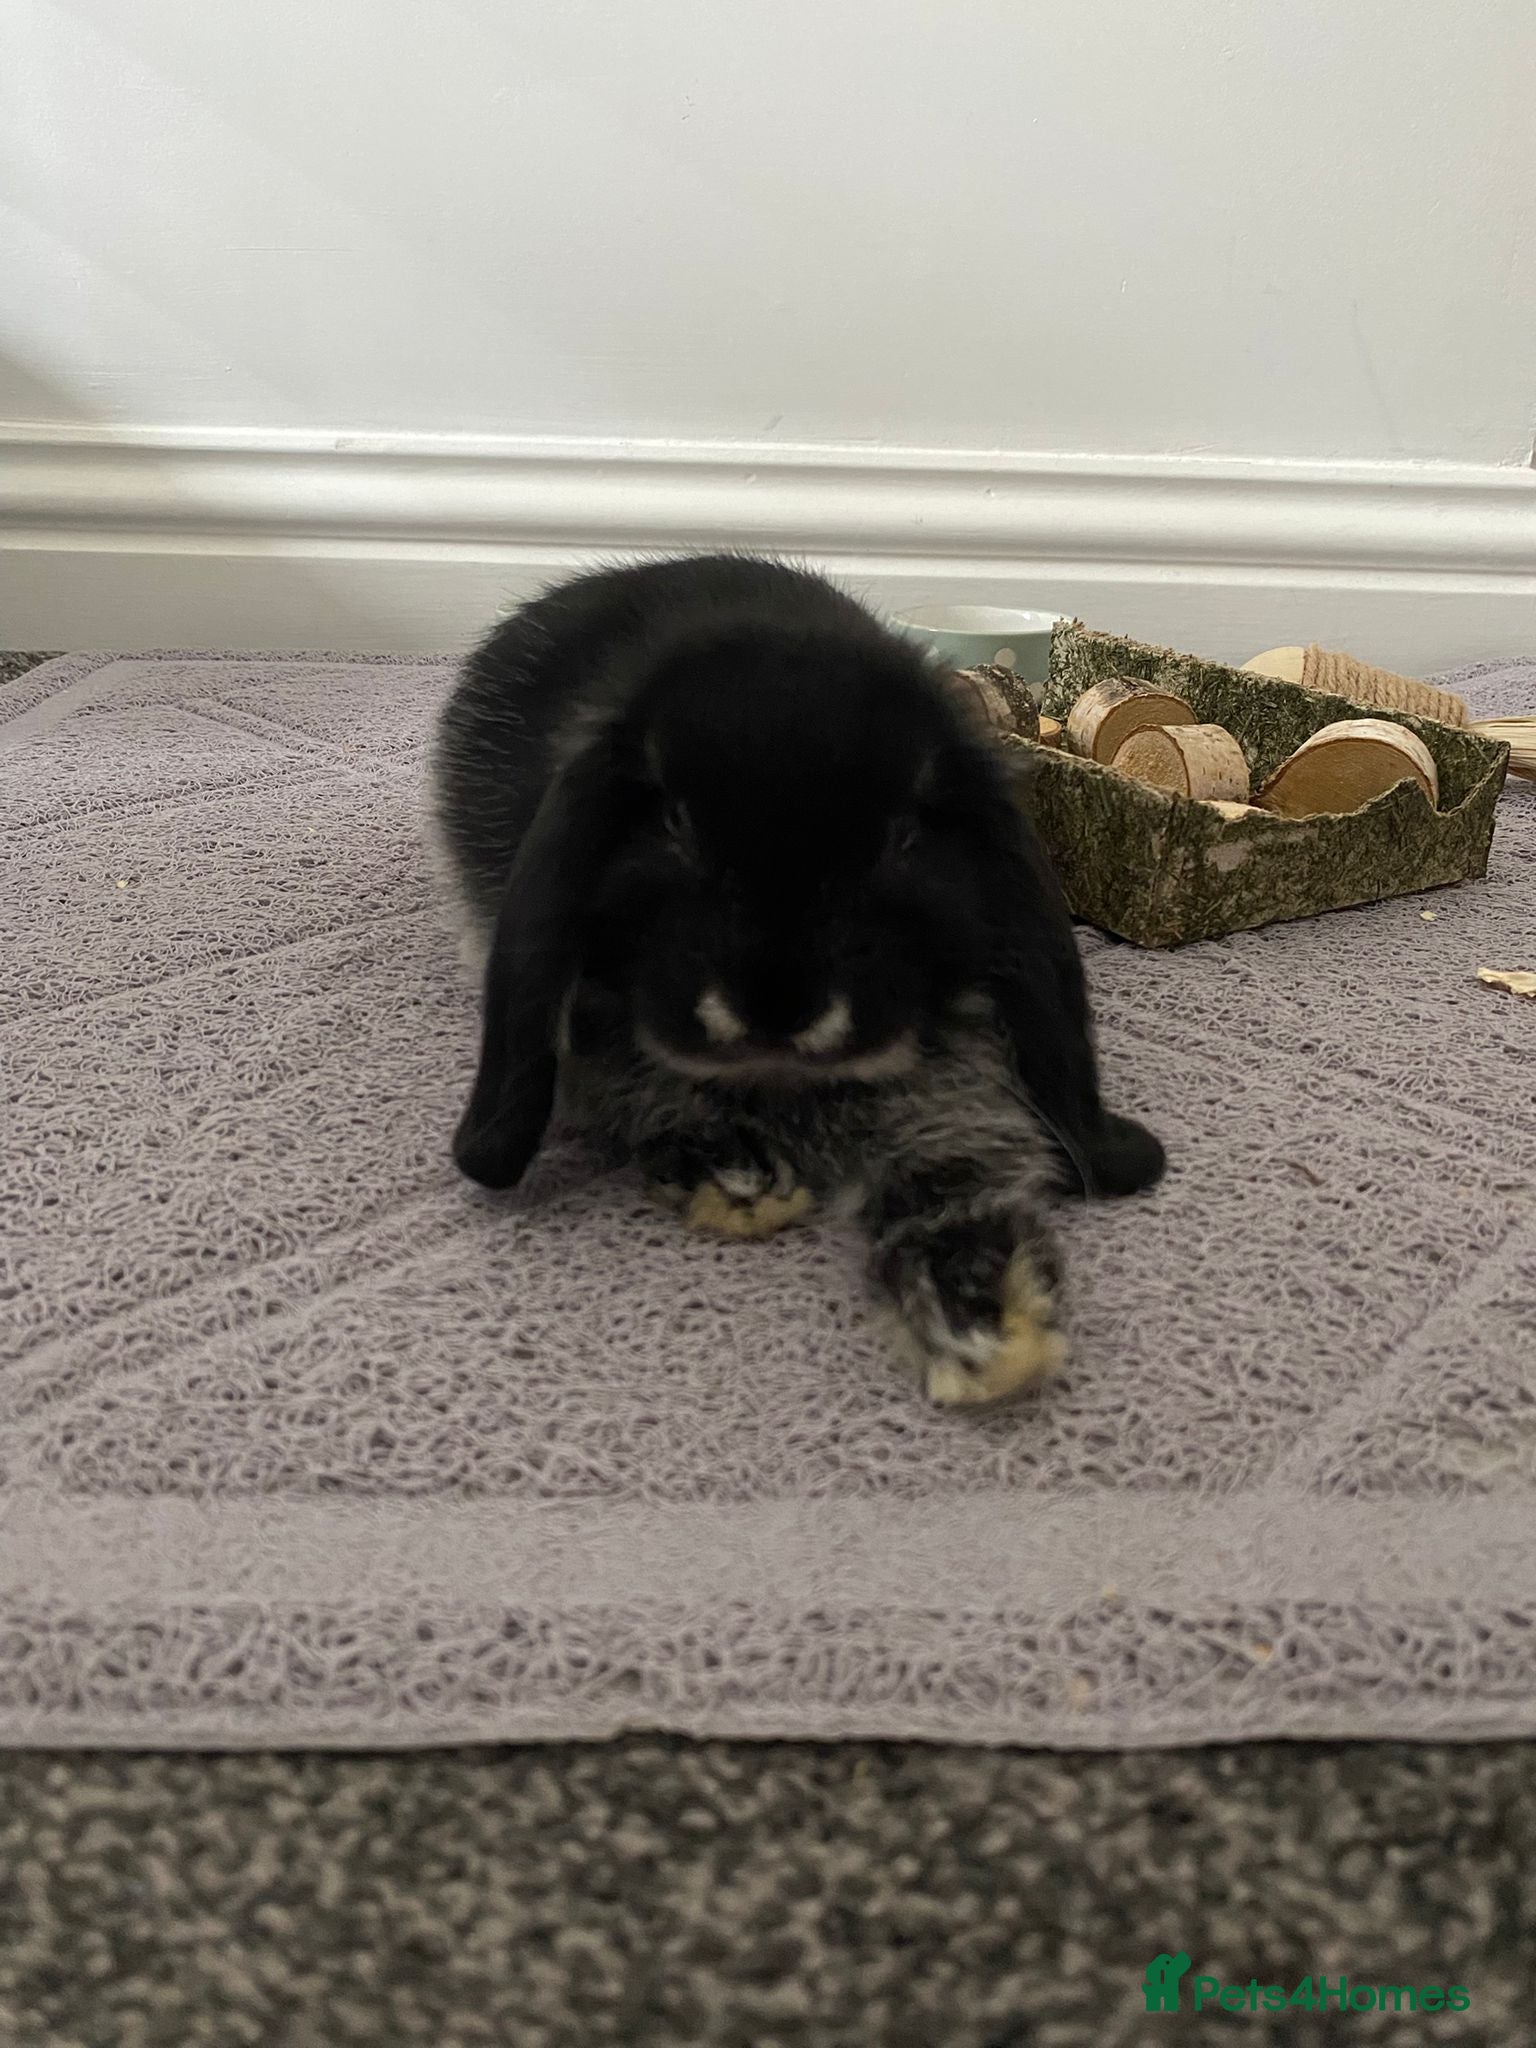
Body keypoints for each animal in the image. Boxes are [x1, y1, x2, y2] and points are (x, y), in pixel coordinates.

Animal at [427, 554, 1165, 1406]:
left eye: (903, 835)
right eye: (673, 824)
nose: (776, 1011)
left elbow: (952, 1148)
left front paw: (984, 1314)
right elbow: (637, 1082)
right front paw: (735, 1174)